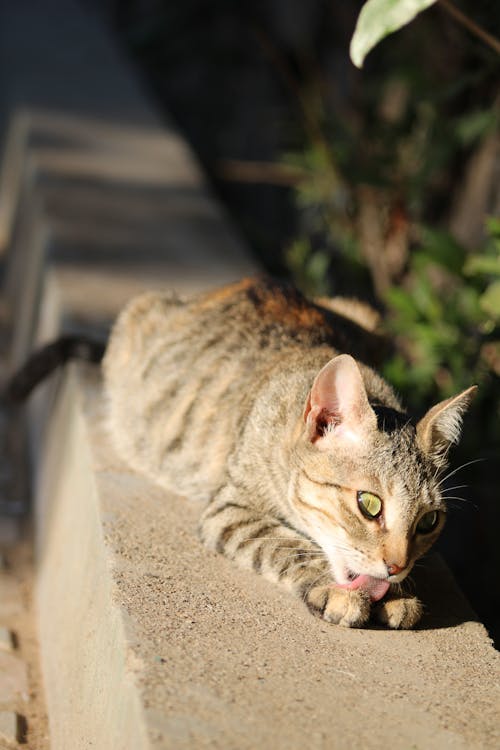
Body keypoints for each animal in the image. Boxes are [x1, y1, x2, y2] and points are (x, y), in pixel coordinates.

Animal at [97, 276, 476, 628]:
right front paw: (338, 591)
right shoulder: (231, 508)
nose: (397, 567)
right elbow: (288, 544)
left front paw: (397, 593)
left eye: (428, 521)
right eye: (369, 504)